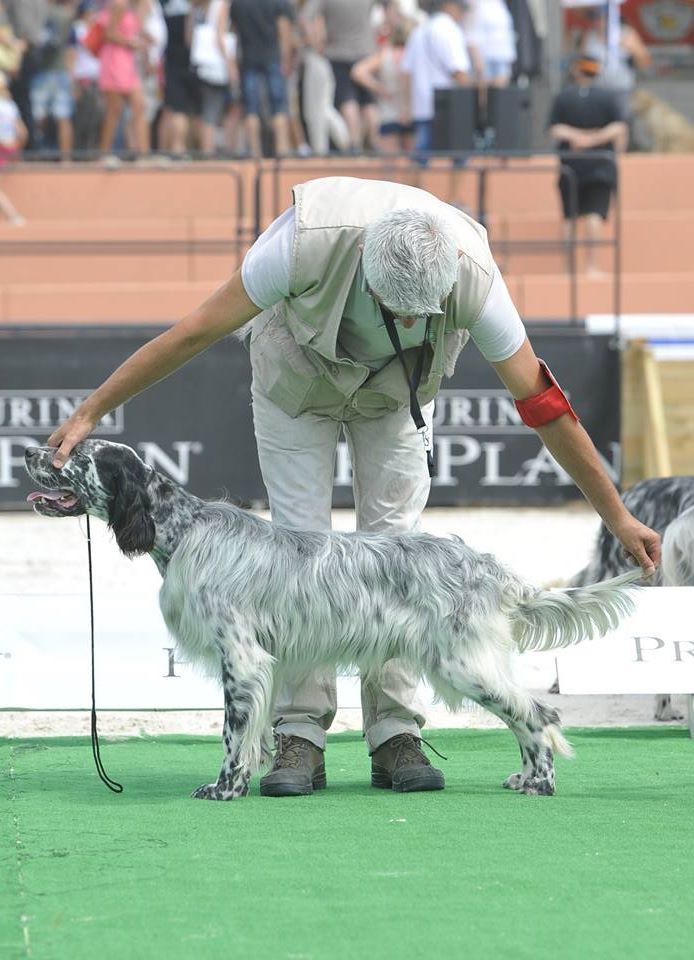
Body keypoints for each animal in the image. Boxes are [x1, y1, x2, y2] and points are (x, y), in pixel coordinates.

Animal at [25, 438, 648, 800]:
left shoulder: (241, 661)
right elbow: (257, 734)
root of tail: (489, 567)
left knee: (537, 714)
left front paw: (224, 788)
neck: (183, 529)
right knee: (526, 717)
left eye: (74, 457)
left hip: (463, 664)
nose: (29, 452)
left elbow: (232, 735)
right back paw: (525, 776)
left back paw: (540, 782)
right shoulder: (261, 666)